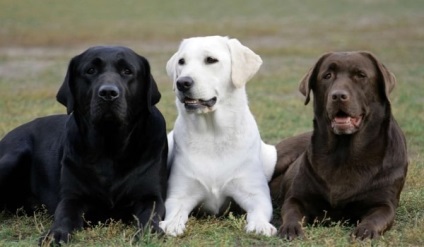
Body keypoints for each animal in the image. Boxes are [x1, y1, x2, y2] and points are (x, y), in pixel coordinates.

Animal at [0, 46, 168, 245]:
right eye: (91, 70)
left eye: (127, 71)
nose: (108, 93)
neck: (110, 147)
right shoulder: (72, 198)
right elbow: (65, 215)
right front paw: (55, 233)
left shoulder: (150, 197)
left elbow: (150, 216)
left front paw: (151, 232)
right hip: (13, 156)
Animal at [161, 35, 276, 236]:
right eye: (181, 62)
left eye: (211, 60)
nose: (182, 82)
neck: (213, 135)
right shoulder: (179, 194)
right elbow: (175, 212)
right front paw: (172, 224)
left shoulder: (256, 193)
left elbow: (259, 210)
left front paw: (260, 225)